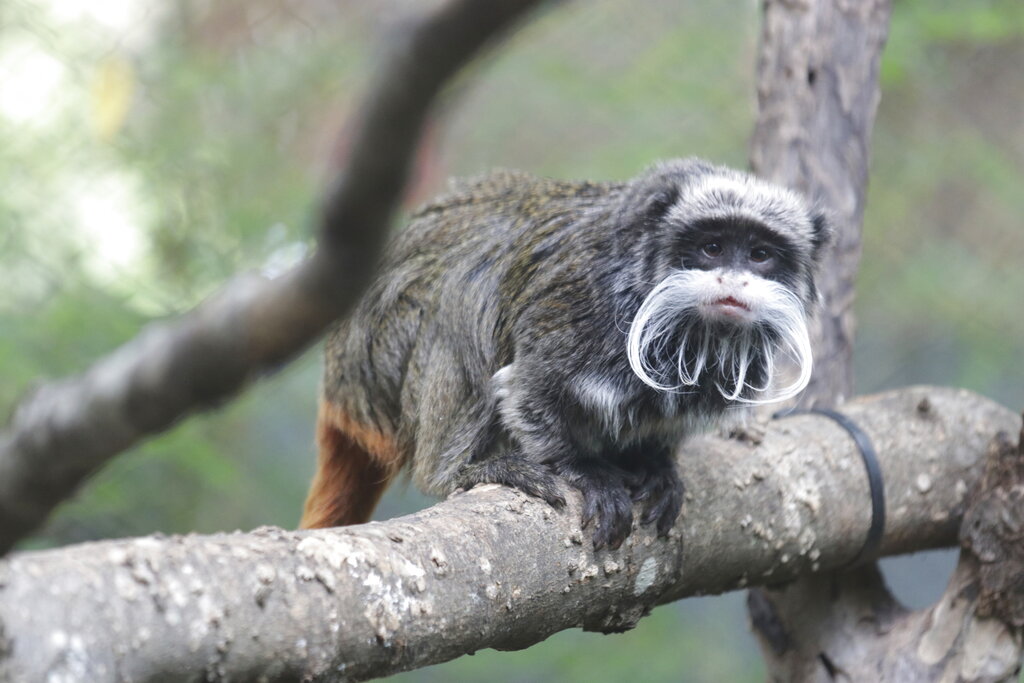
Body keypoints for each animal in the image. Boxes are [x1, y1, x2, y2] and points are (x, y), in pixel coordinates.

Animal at [300, 158, 830, 549]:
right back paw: (460, 469)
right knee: (464, 295)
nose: (734, 281)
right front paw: (586, 472)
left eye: (760, 255)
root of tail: (338, 384)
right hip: (380, 361)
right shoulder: (577, 306)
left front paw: (656, 464)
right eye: (712, 247)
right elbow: (527, 391)